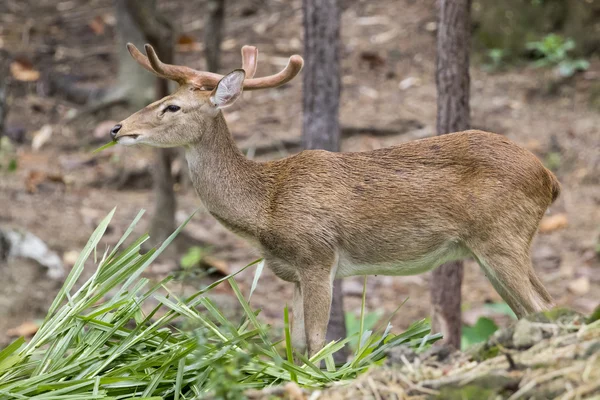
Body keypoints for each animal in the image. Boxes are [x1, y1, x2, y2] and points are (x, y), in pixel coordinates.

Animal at [111, 43, 564, 356]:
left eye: (172, 106)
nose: (117, 128)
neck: (266, 206)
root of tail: (550, 179)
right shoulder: (293, 272)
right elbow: (295, 343)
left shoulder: (317, 256)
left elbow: (316, 342)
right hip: (498, 246)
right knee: (541, 307)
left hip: (501, 237)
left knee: (542, 307)